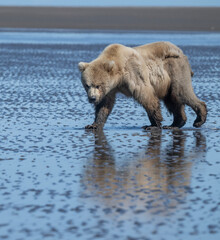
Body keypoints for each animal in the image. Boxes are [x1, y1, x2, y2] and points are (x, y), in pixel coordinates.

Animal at [78, 42, 207, 130]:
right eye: (87, 85)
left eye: (98, 85)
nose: (92, 98)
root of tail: (181, 52)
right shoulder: (110, 89)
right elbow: (104, 104)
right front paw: (93, 124)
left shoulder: (133, 73)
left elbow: (146, 96)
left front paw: (153, 124)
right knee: (172, 100)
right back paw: (175, 124)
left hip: (175, 69)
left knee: (181, 92)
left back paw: (199, 119)